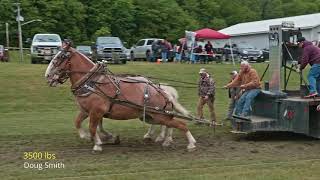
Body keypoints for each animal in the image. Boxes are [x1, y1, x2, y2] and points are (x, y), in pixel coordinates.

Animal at [43, 42, 196, 152]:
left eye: (60, 57)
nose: (48, 76)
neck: (92, 82)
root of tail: (162, 91)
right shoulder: (87, 111)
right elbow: (79, 123)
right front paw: (90, 136)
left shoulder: (96, 111)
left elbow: (93, 127)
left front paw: (97, 144)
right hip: (150, 116)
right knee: (168, 124)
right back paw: (164, 140)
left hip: (159, 115)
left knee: (180, 124)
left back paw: (190, 143)